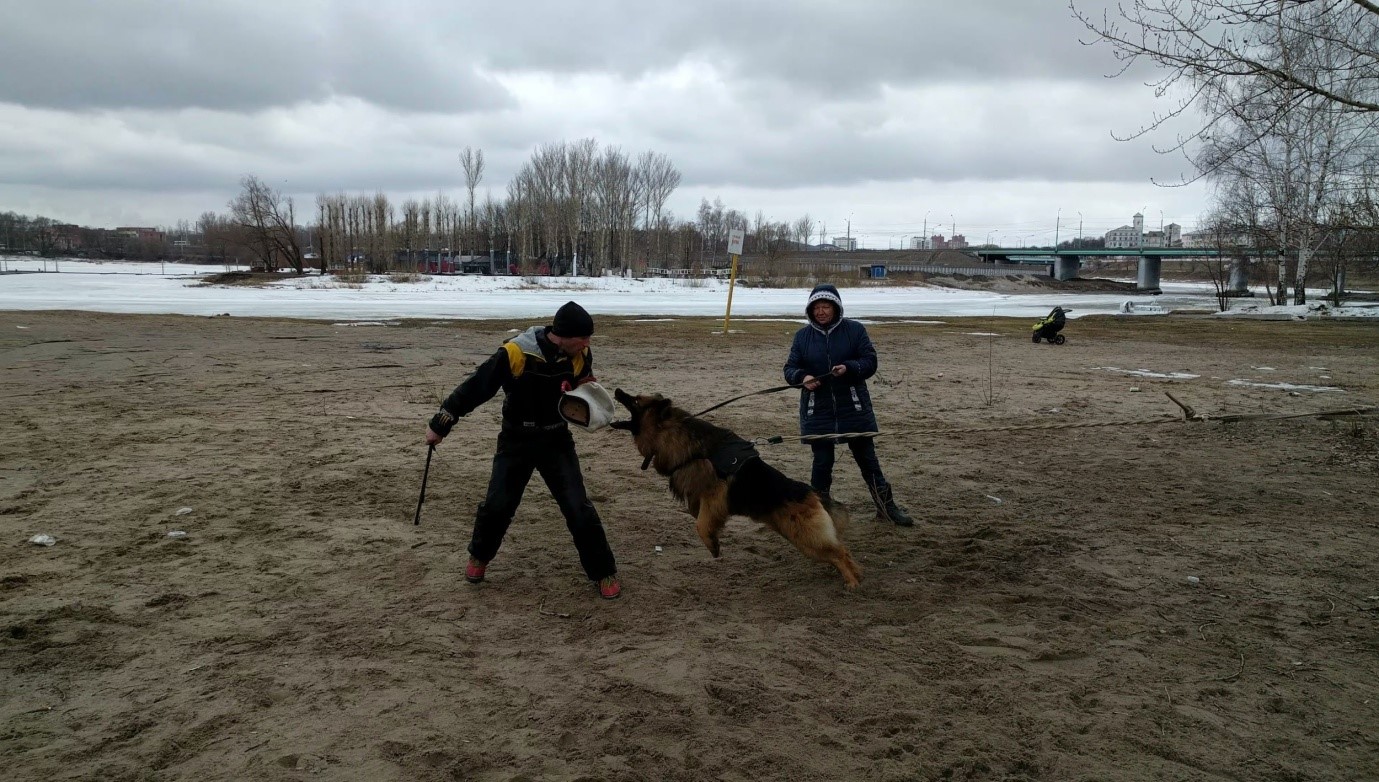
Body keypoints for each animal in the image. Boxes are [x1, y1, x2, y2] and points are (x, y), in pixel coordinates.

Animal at [610, 389, 861, 589]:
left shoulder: (714, 497)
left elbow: (701, 524)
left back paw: (852, 582)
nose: (617, 390)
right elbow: (696, 513)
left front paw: (712, 544)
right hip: (799, 538)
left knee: (841, 553)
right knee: (838, 552)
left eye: (635, 400)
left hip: (806, 537)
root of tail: (812, 493)